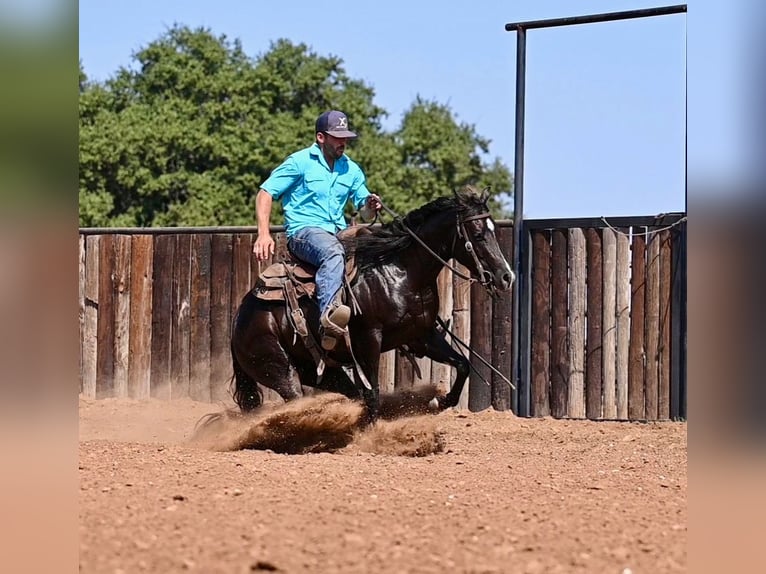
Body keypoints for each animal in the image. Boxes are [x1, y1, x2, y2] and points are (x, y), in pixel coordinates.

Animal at [230, 184, 516, 424]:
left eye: (492, 229)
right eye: (478, 235)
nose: (506, 276)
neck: (403, 270)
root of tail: (239, 319)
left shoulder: (421, 336)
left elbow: (463, 365)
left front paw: (439, 401)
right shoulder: (369, 339)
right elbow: (373, 392)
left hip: (320, 369)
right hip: (277, 367)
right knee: (296, 398)